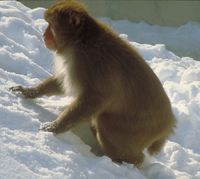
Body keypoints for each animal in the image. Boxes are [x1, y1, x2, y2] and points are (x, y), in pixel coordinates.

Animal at [9, 0, 177, 166]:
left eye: (50, 25)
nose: (44, 34)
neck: (82, 39)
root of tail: (169, 124)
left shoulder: (90, 62)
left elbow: (96, 98)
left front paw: (56, 126)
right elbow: (62, 81)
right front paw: (30, 91)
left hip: (141, 127)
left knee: (105, 122)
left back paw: (125, 163)